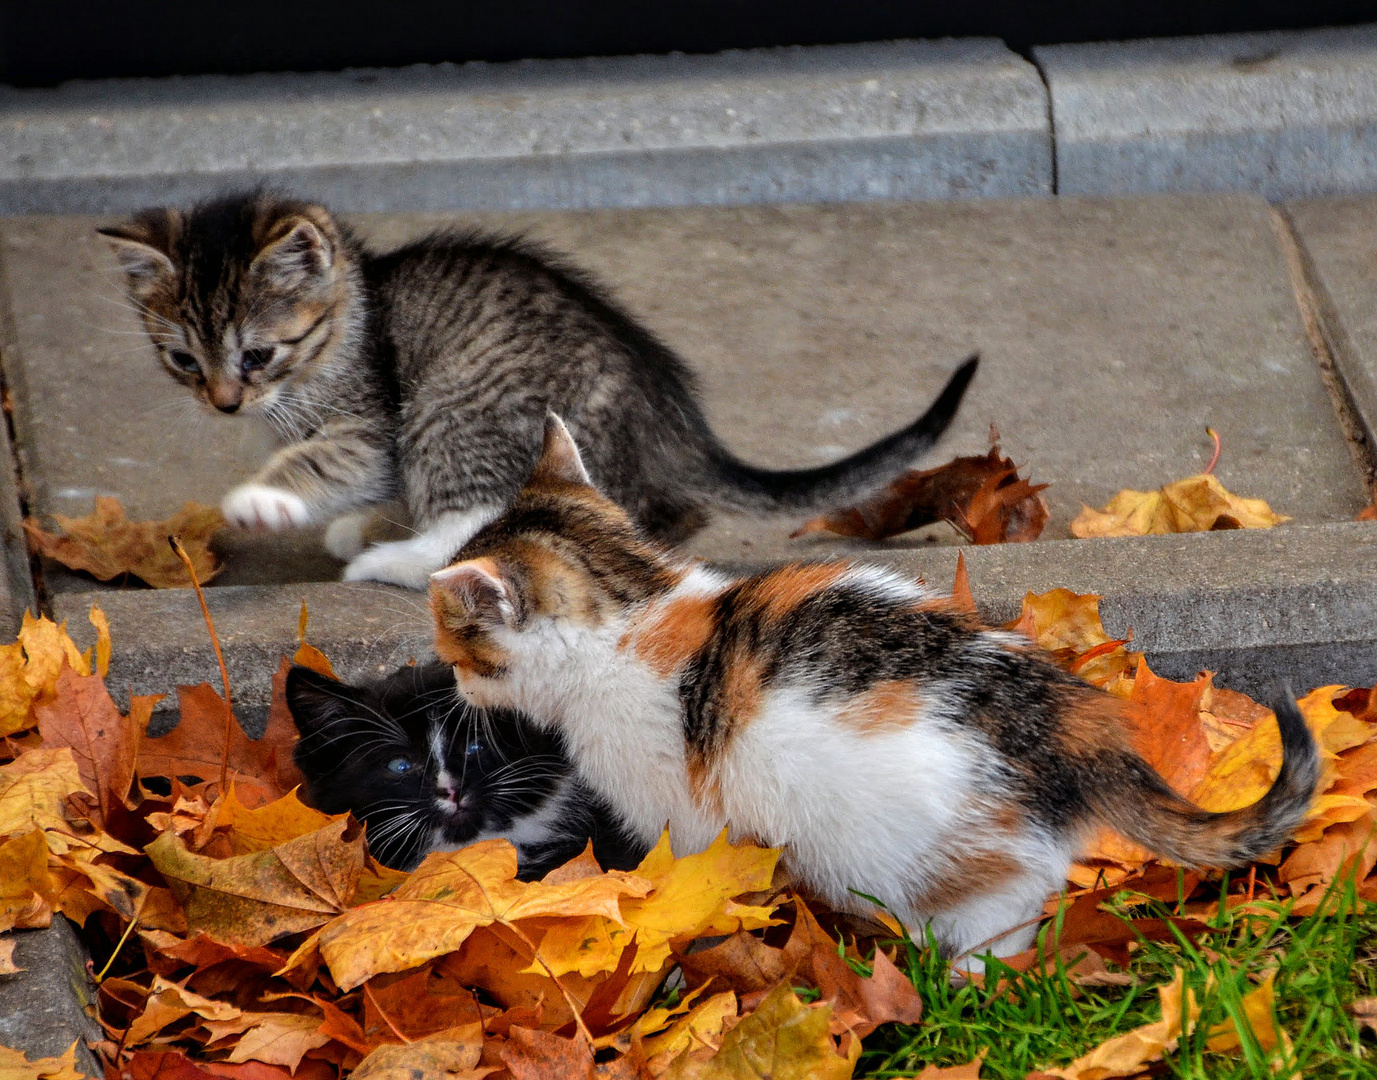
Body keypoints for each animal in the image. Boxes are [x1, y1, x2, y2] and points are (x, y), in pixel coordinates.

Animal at [97, 190, 980, 586]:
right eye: (184, 361)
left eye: (257, 355)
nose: (224, 403)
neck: (353, 317)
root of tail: (672, 423)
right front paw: (360, 518)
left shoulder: (375, 415)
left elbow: (335, 461)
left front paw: (268, 499)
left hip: (459, 402)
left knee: (489, 517)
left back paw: (399, 561)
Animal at [421, 416, 1321, 969]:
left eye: (456, 643)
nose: (449, 679)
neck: (637, 607)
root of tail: (1059, 723)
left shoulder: (688, 820)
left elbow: (696, 880)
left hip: (914, 853)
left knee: (996, 918)